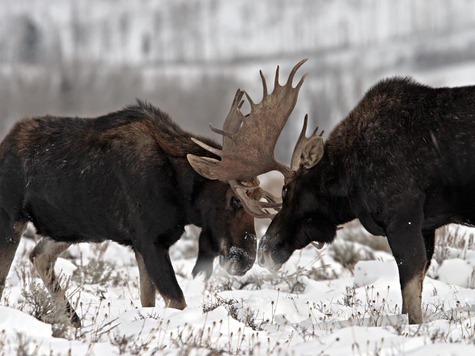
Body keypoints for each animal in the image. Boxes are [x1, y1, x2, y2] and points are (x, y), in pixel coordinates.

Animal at [0, 98, 270, 326]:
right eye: (234, 199)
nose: (246, 258)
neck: (181, 194)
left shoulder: (142, 245)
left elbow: (148, 300)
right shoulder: (150, 240)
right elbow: (177, 301)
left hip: (74, 229)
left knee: (39, 255)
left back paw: (73, 320)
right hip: (12, 220)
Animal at [192, 59, 475, 326]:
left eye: (286, 189)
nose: (264, 250)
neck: (350, 180)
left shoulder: (402, 217)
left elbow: (411, 292)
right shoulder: (427, 226)